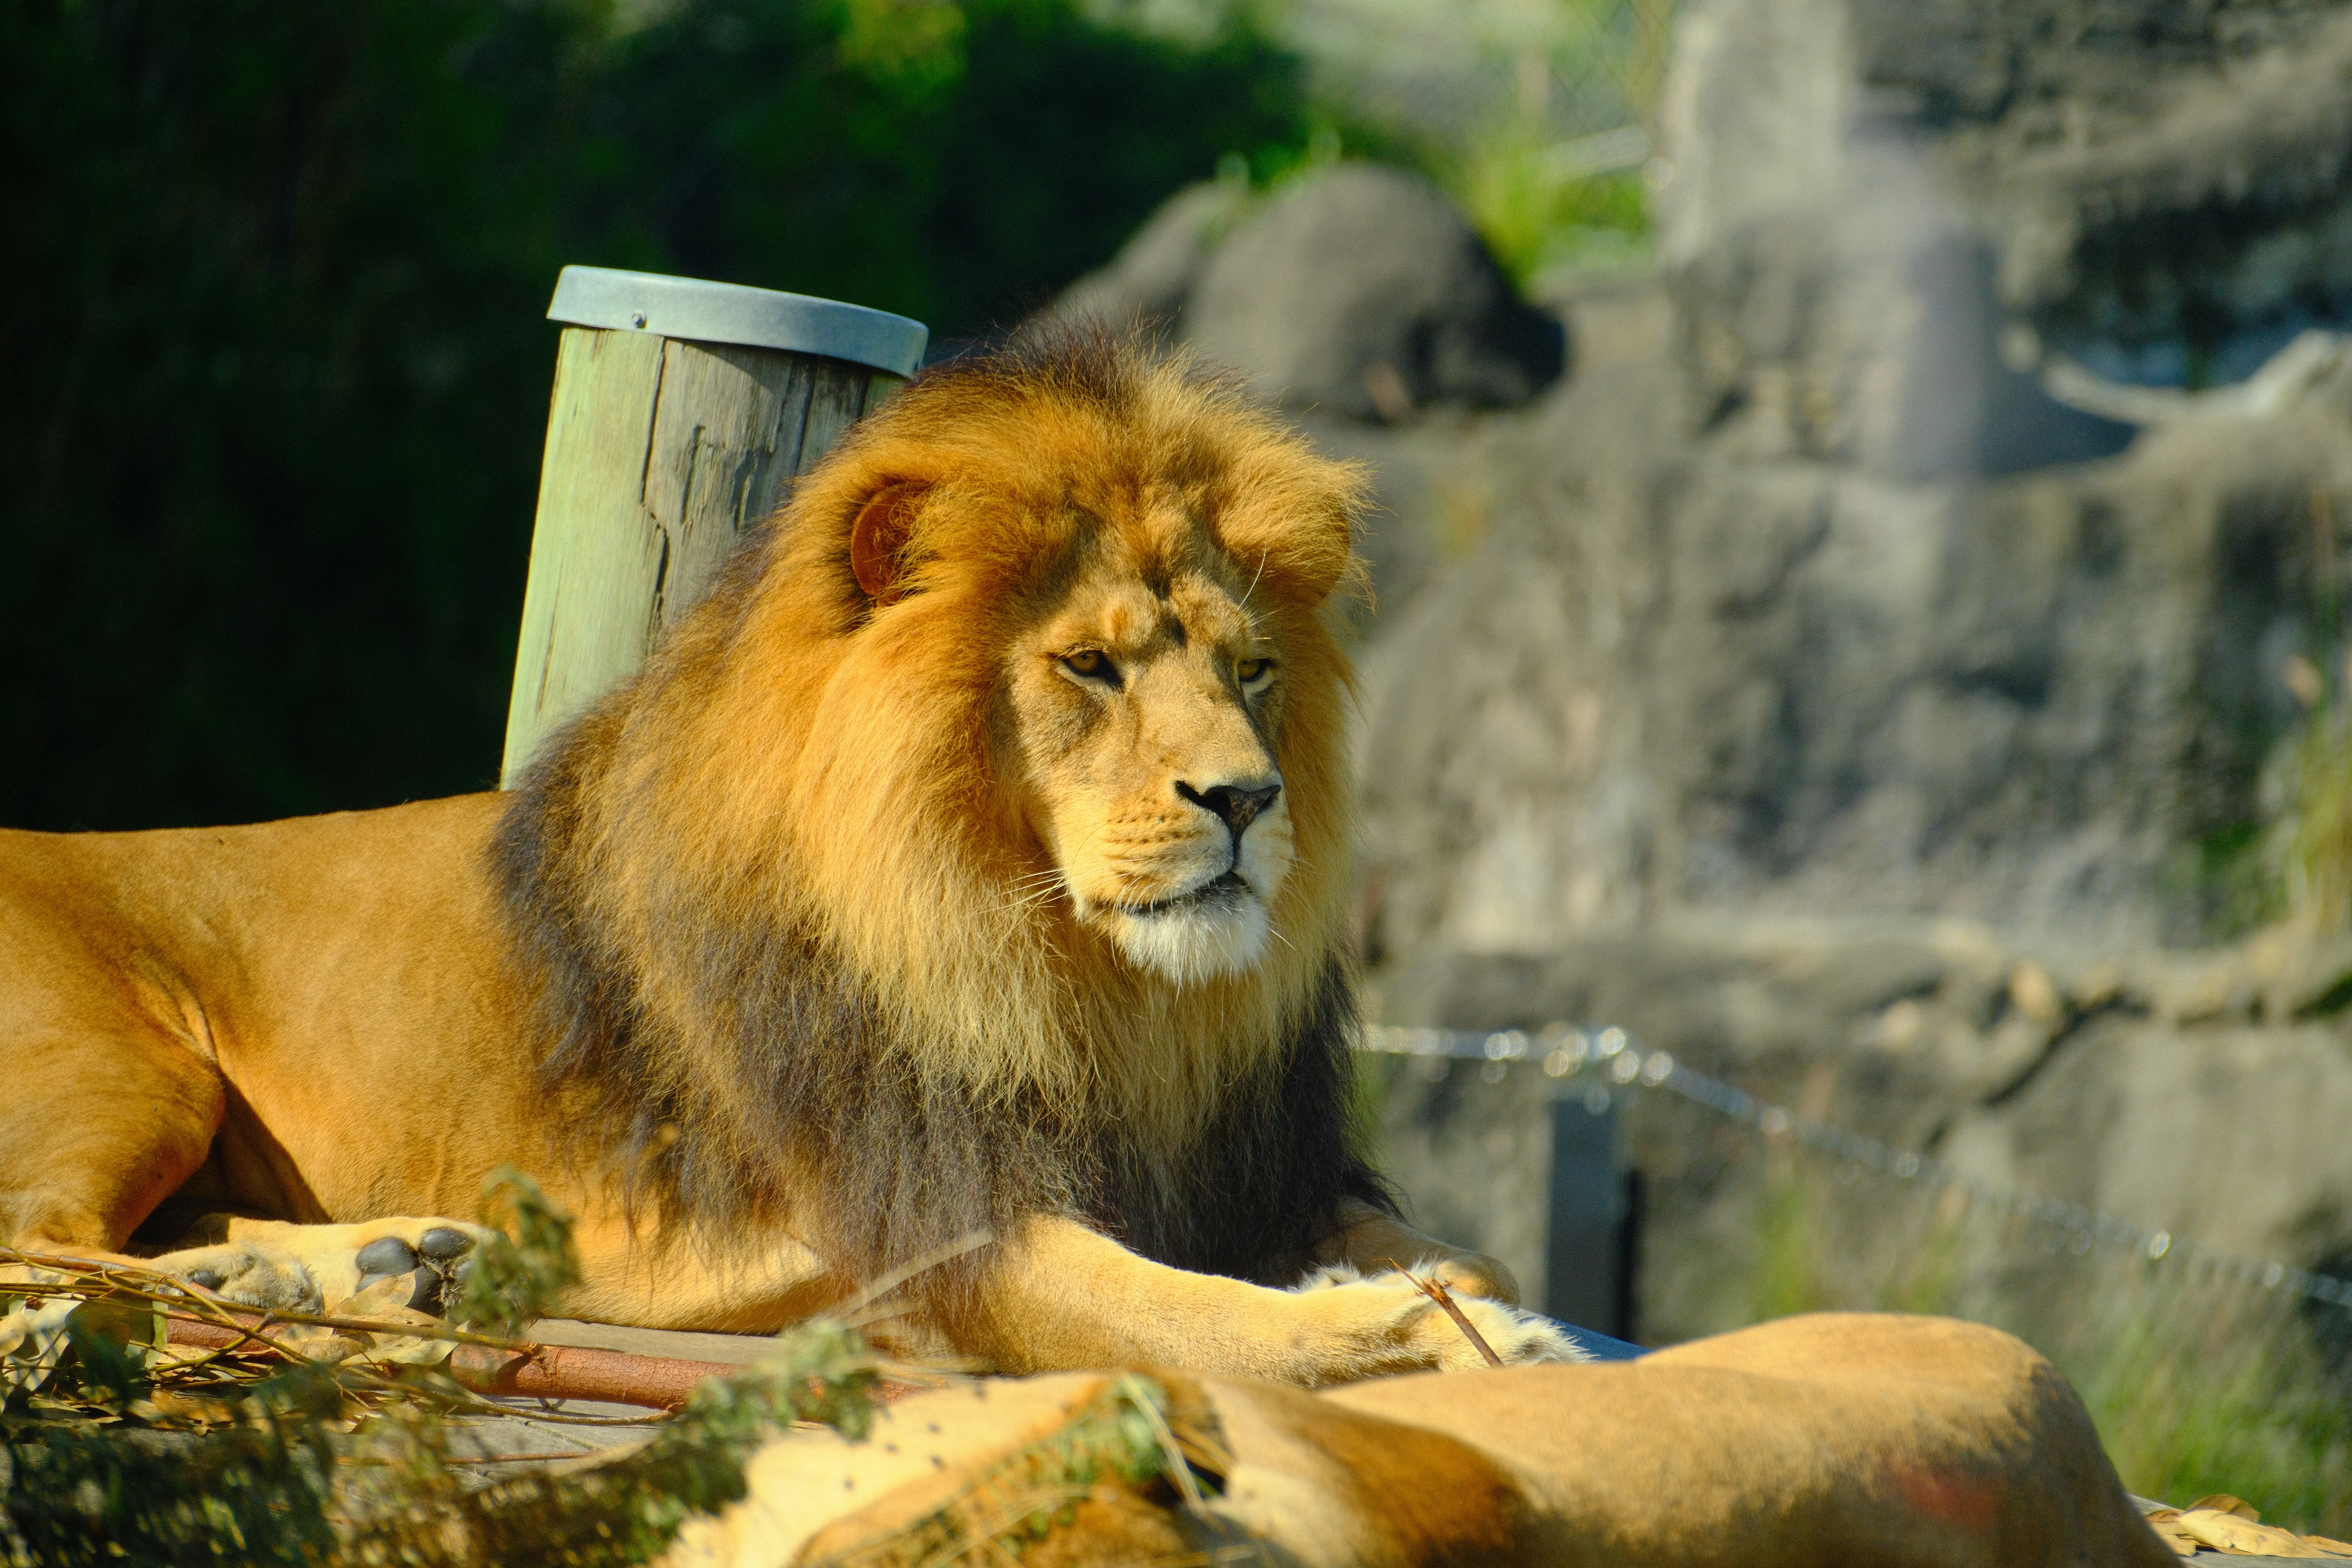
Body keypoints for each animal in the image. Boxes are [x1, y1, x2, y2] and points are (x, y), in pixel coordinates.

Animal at [0, 328, 1569, 1384]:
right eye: (1092, 667)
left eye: (1251, 671)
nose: (1246, 797)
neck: (1089, 983)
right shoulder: (955, 1227)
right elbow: (1212, 1320)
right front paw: (1418, 1332)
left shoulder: (1246, 1175)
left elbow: (1459, 1251)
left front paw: (1486, 1304)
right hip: (135, 1072)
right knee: (39, 1235)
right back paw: (298, 1277)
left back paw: (385, 1266)